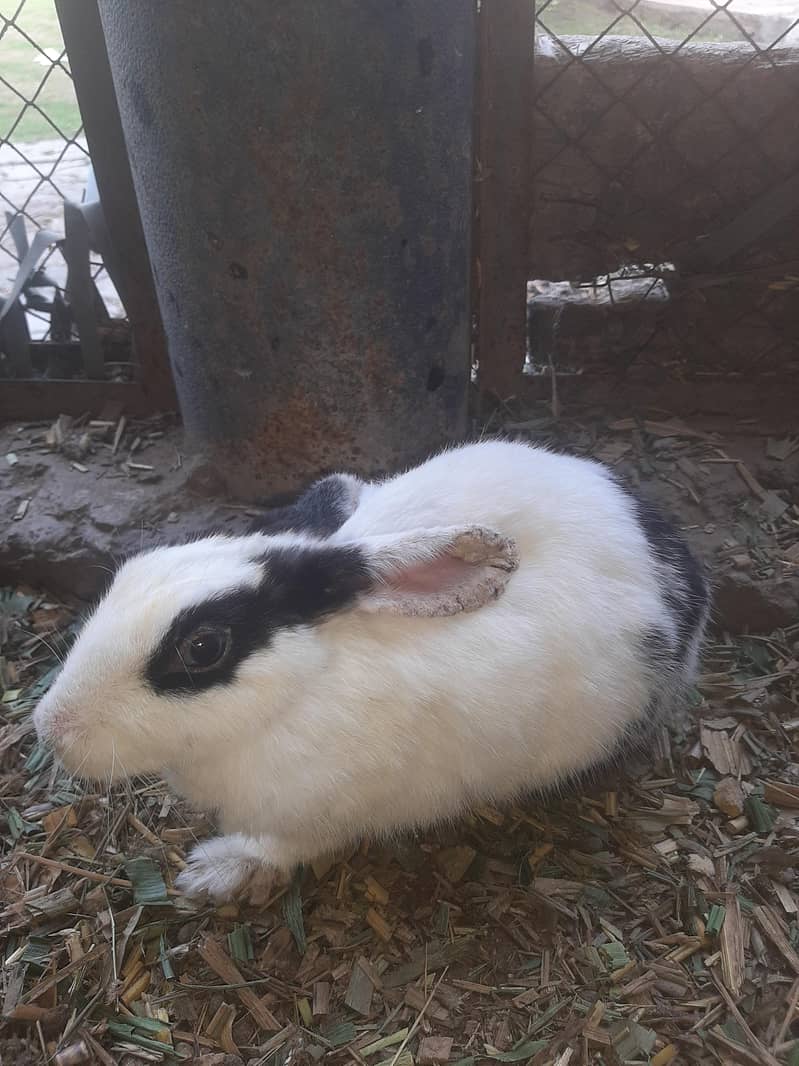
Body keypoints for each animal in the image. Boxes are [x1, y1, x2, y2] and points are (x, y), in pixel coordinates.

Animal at [33, 439, 709, 902]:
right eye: (132, 571)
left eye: (202, 648)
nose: (51, 727)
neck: (300, 691)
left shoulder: (321, 812)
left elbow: (279, 847)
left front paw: (214, 874)